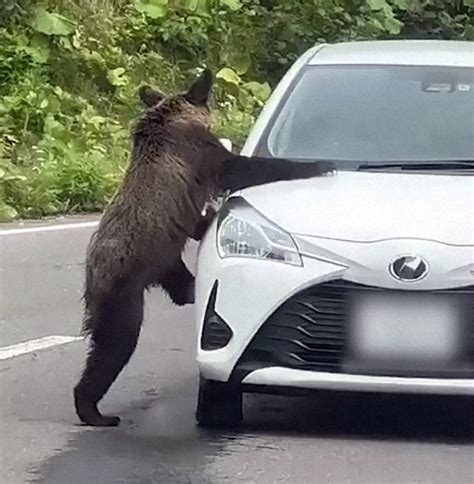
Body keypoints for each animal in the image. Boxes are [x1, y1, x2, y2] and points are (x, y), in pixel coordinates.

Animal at [74, 69, 334, 428]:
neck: (170, 120)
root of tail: (89, 272)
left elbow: (200, 217)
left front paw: (209, 215)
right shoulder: (197, 151)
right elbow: (237, 168)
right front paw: (319, 164)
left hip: (166, 260)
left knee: (179, 289)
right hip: (124, 283)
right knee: (114, 343)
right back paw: (94, 410)